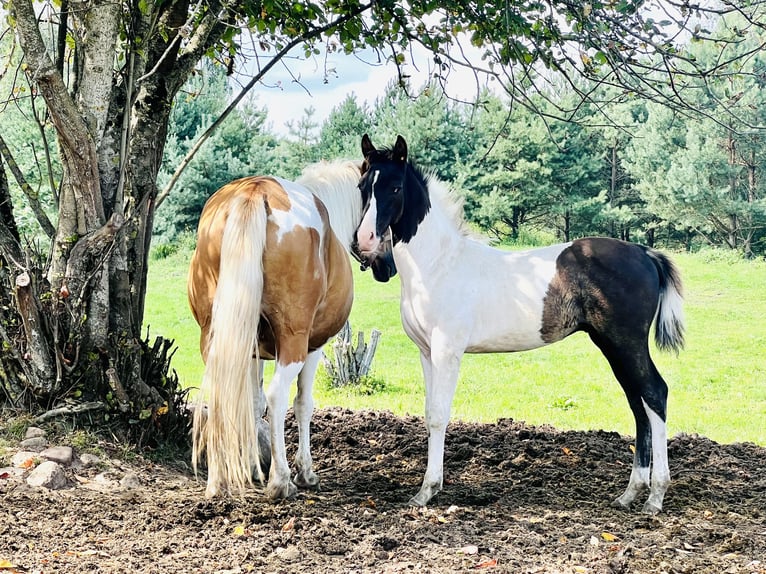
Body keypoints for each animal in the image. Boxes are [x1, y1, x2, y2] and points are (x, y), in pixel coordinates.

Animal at [188, 159, 389, 500]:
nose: (387, 265)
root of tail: (256, 191)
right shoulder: (313, 347)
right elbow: (303, 404)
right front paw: (304, 472)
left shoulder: (251, 349)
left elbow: (252, 404)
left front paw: (252, 468)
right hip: (294, 344)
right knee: (278, 396)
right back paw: (281, 481)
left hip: (217, 336)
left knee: (220, 395)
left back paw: (218, 481)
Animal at [353, 134, 685, 515]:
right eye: (363, 186)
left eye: (395, 187)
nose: (364, 241)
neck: (437, 264)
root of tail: (645, 253)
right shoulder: (426, 352)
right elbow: (427, 413)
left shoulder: (447, 350)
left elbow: (439, 414)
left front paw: (427, 491)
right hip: (612, 345)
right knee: (637, 403)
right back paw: (630, 493)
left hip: (626, 342)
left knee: (655, 393)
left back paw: (655, 497)